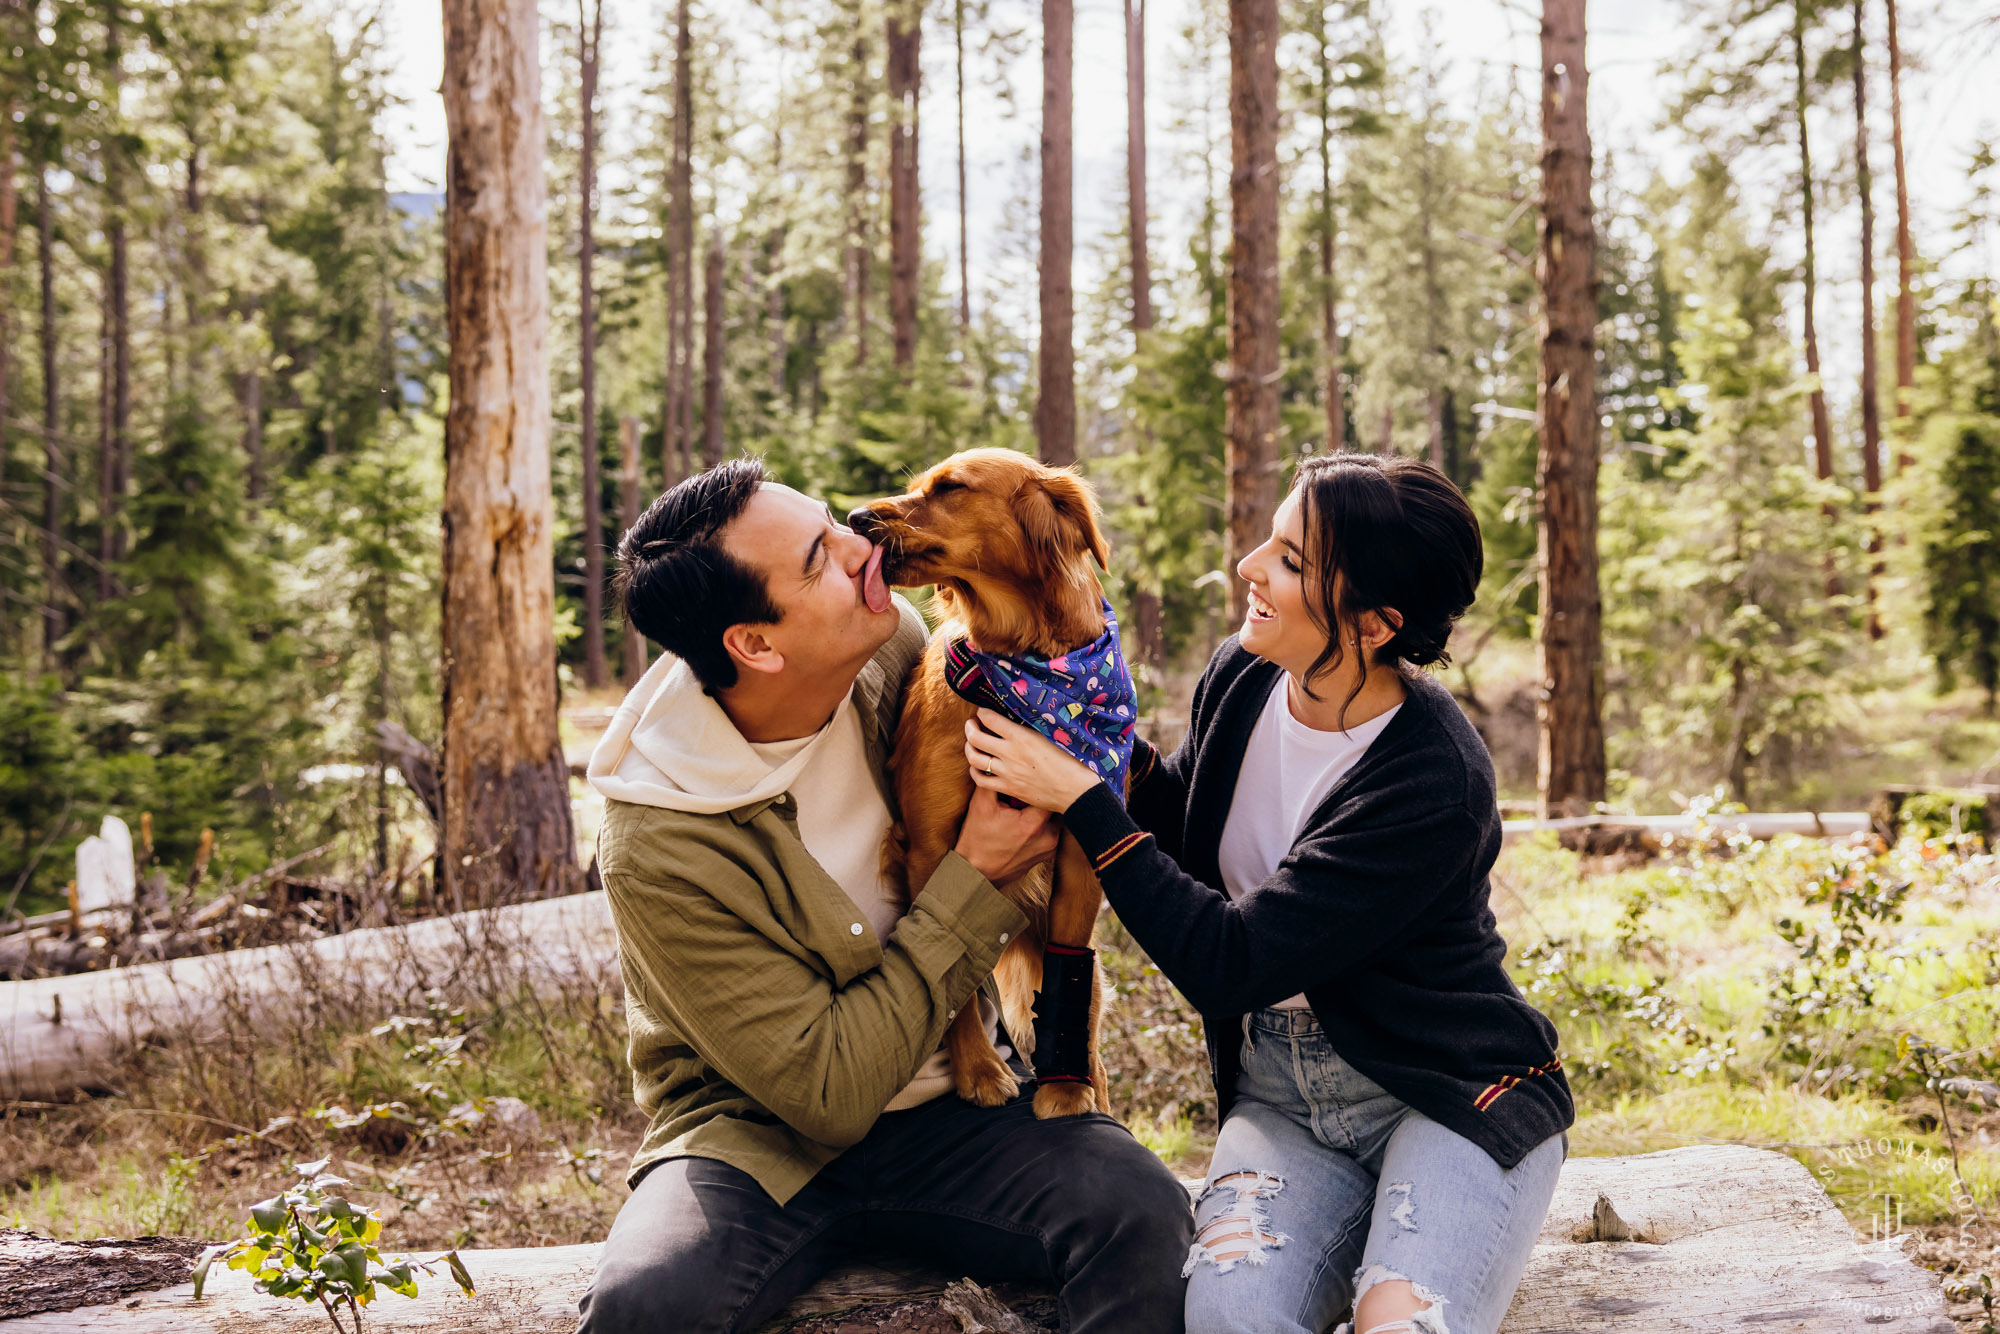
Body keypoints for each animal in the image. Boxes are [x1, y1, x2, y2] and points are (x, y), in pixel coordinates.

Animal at [848, 454, 1128, 1120]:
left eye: (950, 488)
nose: (853, 517)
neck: (1025, 672)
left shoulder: (1079, 858)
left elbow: (1067, 976)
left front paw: (1064, 1091)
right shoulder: (932, 849)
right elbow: (952, 982)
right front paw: (978, 1071)